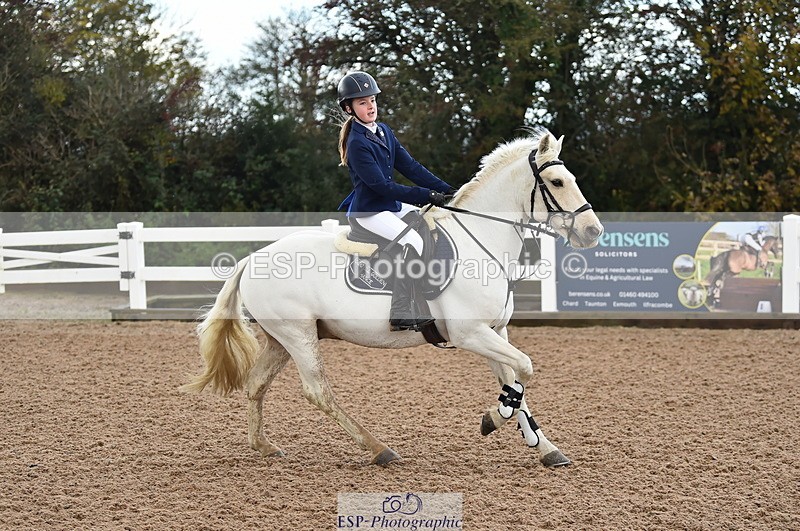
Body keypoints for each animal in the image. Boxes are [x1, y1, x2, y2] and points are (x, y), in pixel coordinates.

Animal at [181, 128, 604, 468]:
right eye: (557, 181)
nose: (593, 231)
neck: (481, 241)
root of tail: (252, 258)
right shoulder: (470, 334)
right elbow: (525, 369)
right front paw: (494, 419)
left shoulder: (495, 332)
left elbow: (515, 379)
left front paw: (544, 446)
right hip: (298, 335)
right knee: (318, 391)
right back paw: (379, 449)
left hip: (281, 338)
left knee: (256, 385)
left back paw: (264, 446)